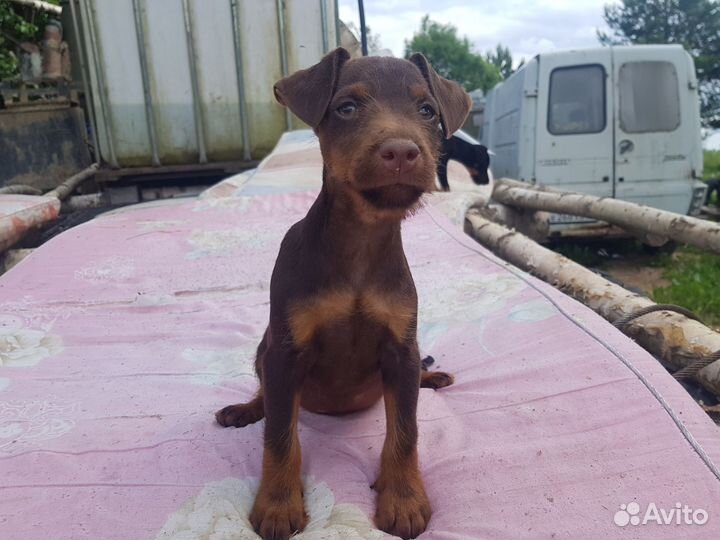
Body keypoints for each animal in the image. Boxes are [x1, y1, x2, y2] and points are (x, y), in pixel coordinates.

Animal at [217, 48, 470, 536]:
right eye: (347, 108)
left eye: (427, 111)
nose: (401, 152)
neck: (361, 241)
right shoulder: (285, 351)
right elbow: (280, 435)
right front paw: (278, 504)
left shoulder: (400, 348)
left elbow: (406, 430)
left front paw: (403, 498)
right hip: (264, 348)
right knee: (267, 396)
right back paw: (246, 408)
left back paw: (432, 377)